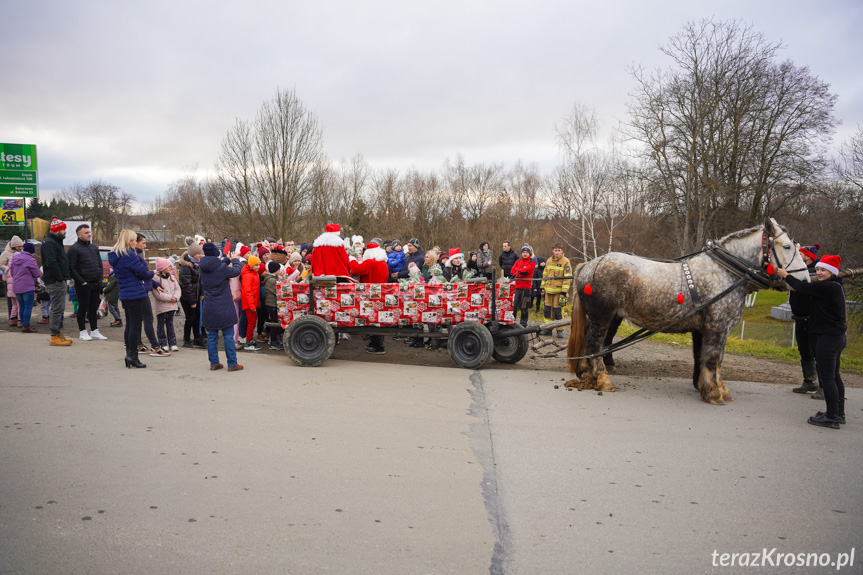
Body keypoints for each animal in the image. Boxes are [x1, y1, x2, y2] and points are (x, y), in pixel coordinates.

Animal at [568, 217, 808, 404]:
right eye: (787, 246)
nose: (805, 280)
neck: (723, 271)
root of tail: (590, 264)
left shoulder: (704, 329)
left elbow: (705, 358)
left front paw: (711, 387)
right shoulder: (718, 326)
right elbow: (713, 358)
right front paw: (714, 393)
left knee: (590, 344)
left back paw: (587, 374)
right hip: (602, 315)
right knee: (595, 343)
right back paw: (602, 378)